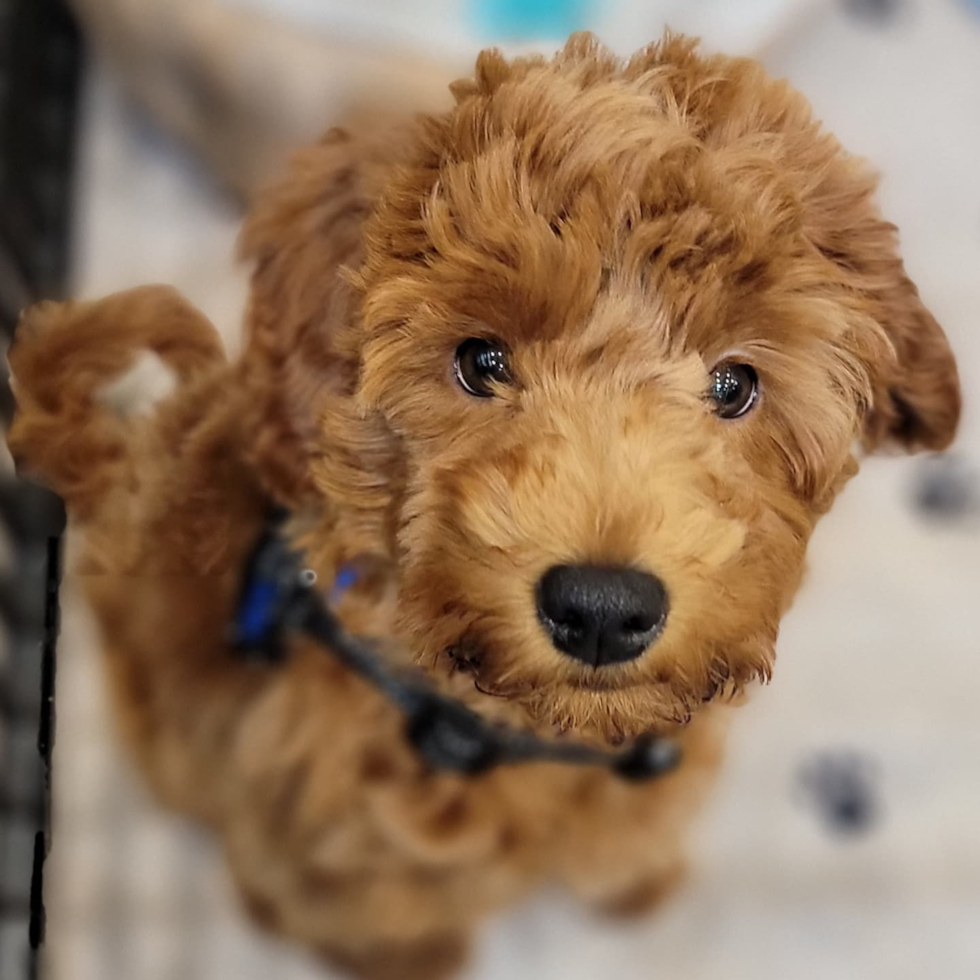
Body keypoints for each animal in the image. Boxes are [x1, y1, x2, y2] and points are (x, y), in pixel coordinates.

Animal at [7, 32, 956, 980]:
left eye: (735, 385)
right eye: (480, 362)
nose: (602, 608)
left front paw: (642, 881)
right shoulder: (335, 844)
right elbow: (377, 915)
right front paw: (425, 959)